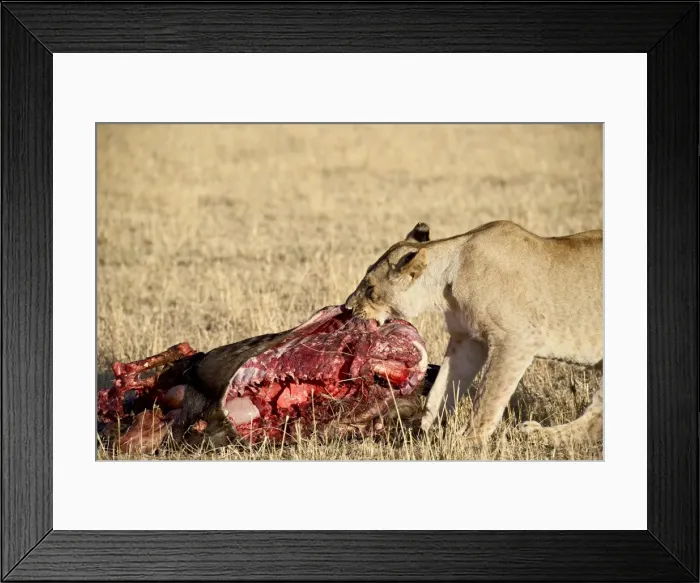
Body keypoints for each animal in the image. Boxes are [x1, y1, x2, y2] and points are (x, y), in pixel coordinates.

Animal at [344, 220, 603, 445]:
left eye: (371, 289)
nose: (347, 307)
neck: (447, 283)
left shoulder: (517, 340)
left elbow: (487, 397)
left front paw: (468, 441)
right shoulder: (467, 340)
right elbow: (441, 389)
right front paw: (423, 431)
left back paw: (535, 435)